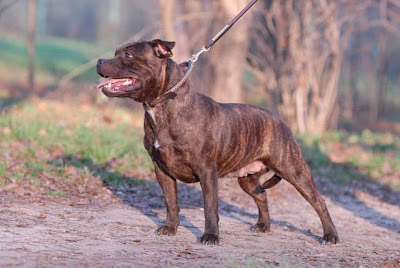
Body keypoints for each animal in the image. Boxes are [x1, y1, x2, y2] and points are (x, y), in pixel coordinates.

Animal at [95, 39, 340, 245]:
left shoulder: (206, 171)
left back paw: (330, 236)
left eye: (128, 55)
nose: (99, 60)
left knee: (318, 200)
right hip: (247, 179)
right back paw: (264, 225)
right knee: (261, 195)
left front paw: (211, 236)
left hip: (293, 169)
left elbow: (210, 207)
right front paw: (170, 228)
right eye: (116, 53)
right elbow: (171, 202)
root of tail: (280, 121)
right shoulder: (161, 170)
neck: (162, 105)